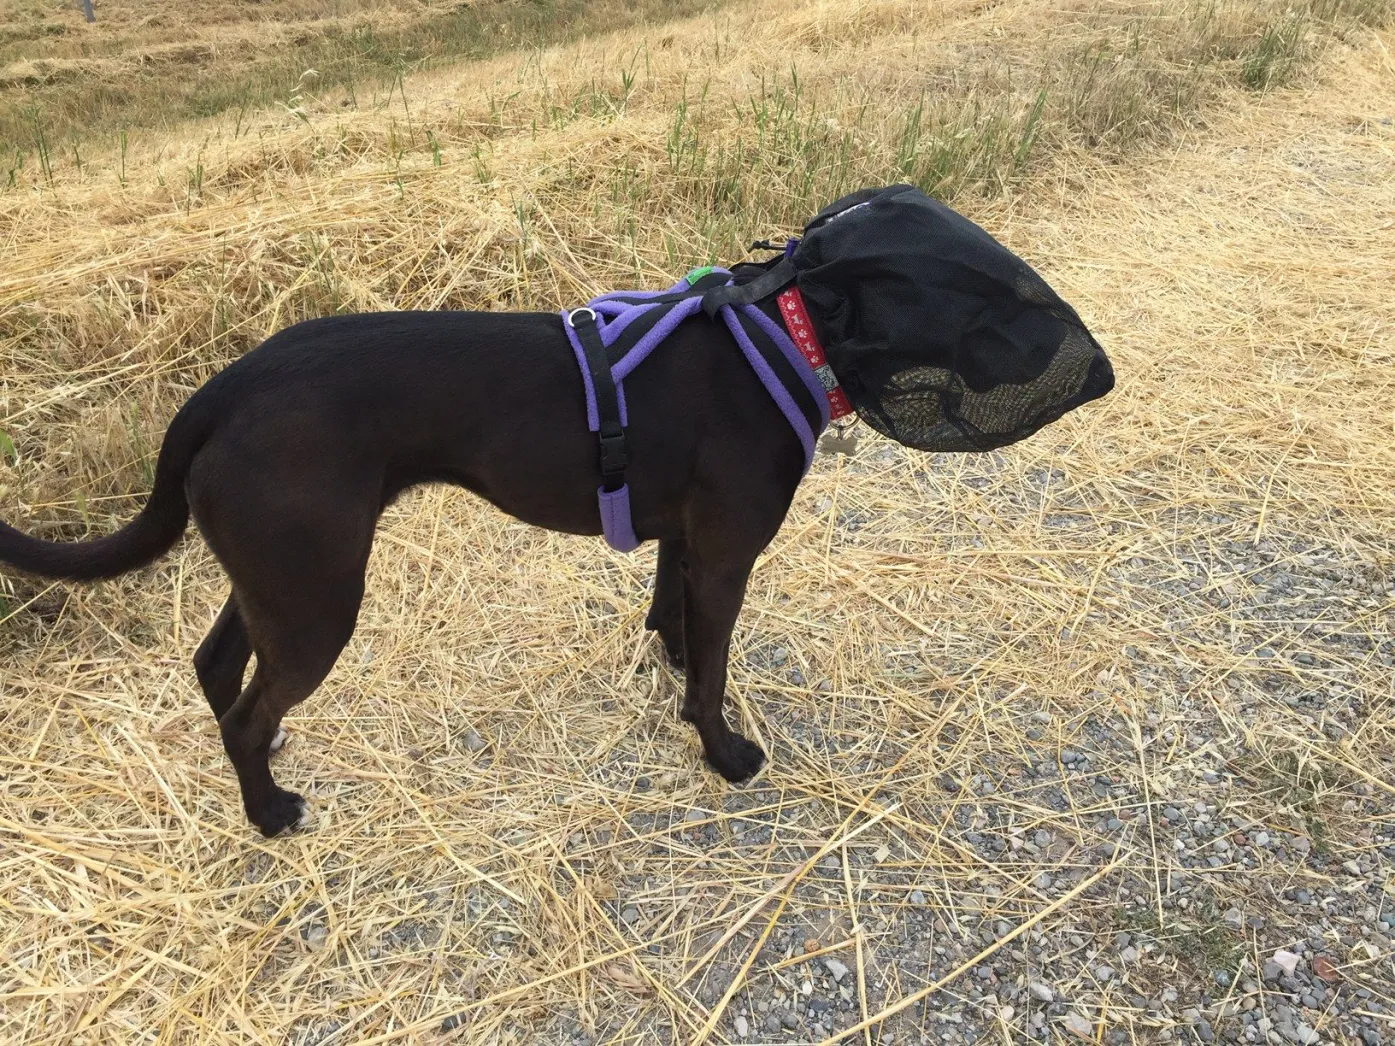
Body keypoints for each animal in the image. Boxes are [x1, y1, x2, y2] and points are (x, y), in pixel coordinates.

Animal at [0, 309, 803, 836]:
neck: (778, 334)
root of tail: (220, 394)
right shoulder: (726, 560)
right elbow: (711, 678)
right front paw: (725, 755)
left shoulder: (684, 539)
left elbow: (671, 617)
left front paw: (673, 659)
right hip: (317, 603)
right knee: (244, 715)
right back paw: (269, 812)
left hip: (280, 581)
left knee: (217, 664)